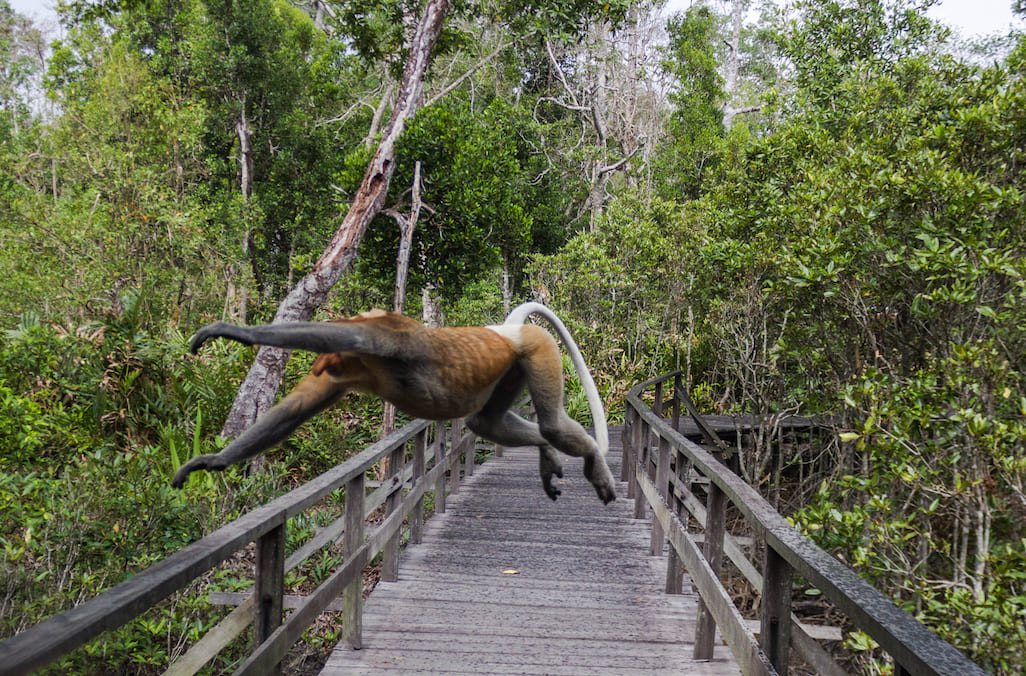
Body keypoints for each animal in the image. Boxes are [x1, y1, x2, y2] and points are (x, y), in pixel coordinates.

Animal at [172, 303, 616, 504]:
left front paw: (237, 332)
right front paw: (209, 462)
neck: (369, 370)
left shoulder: (394, 337)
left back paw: (593, 463)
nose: (322, 367)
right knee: (489, 424)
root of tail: (506, 331)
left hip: (537, 348)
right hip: (513, 364)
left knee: (552, 423)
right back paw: (547, 454)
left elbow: (356, 336)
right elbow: (293, 412)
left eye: (329, 360)